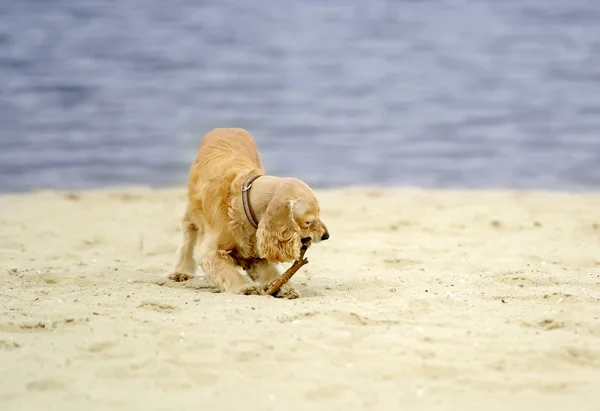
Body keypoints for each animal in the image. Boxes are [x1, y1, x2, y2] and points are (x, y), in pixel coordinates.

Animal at [166, 127, 330, 298]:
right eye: (308, 222)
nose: (326, 235)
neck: (241, 202)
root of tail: (226, 128)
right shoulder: (209, 251)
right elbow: (228, 271)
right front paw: (245, 287)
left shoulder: (255, 251)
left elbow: (270, 272)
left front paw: (284, 287)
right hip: (193, 208)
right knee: (188, 231)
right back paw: (181, 271)